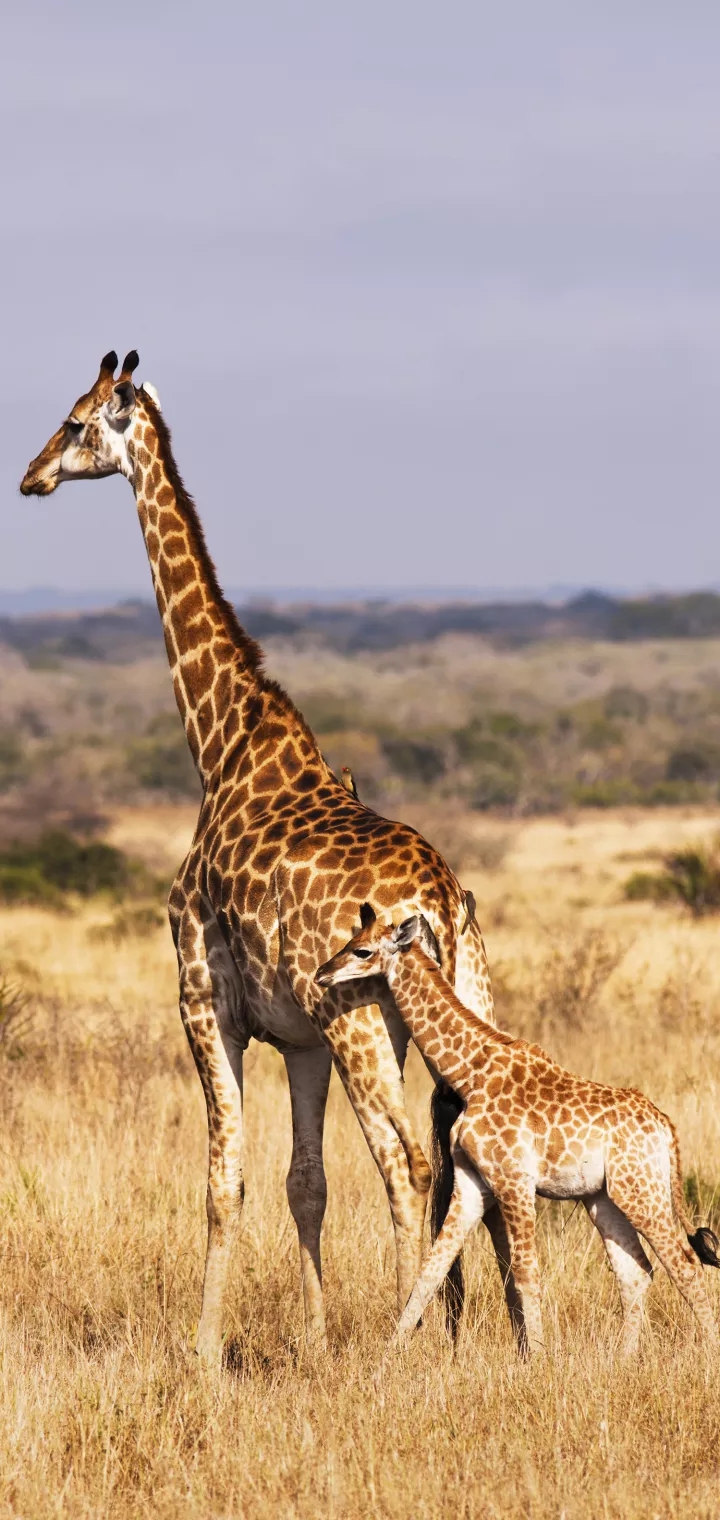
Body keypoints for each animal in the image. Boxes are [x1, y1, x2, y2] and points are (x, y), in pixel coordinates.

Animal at [20, 349, 503, 1362]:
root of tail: (442, 899)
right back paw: (470, 1333)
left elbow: (225, 1179)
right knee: (454, 1158)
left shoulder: (205, 1003)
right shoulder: (300, 1037)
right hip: (465, 999)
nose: (30, 476)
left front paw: (203, 1349)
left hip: (367, 1020)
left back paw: (407, 1342)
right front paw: (314, 1341)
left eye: (77, 422)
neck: (220, 743)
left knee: (405, 1163)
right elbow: (303, 1182)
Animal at [316, 906, 720, 1355]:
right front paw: (390, 1355)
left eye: (362, 950)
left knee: (685, 1264)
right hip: (605, 1197)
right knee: (636, 1271)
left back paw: (705, 1353)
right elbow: (431, 1270)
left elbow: (526, 1273)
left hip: (642, 1191)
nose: (321, 974)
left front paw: (539, 1359)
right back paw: (623, 1359)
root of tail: (666, 1128)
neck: (470, 1073)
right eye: (350, 940)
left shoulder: (514, 1181)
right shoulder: (472, 1182)